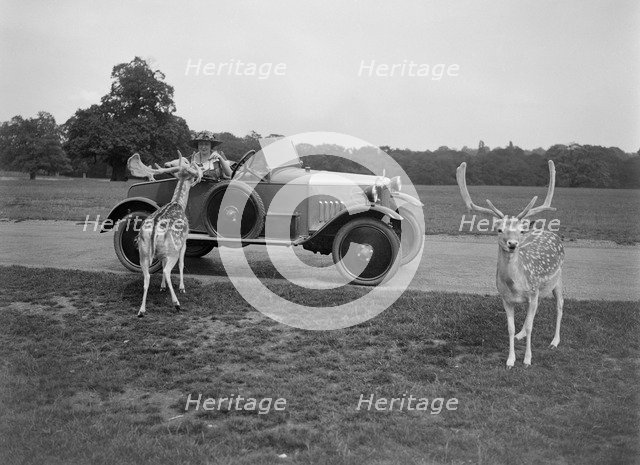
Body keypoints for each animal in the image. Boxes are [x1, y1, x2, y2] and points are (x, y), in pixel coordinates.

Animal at [135, 153, 203, 317]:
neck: (178, 203)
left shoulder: (161, 253)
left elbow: (162, 263)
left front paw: (162, 287)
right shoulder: (184, 241)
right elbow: (182, 264)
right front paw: (182, 287)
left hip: (143, 252)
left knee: (146, 276)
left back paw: (141, 310)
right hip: (173, 250)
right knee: (167, 270)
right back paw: (177, 304)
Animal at [456, 160, 564, 368]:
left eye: (521, 231)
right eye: (499, 230)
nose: (512, 244)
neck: (515, 286)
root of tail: (551, 233)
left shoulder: (532, 293)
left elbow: (531, 327)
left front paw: (527, 360)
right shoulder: (506, 298)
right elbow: (510, 328)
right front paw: (510, 360)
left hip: (559, 278)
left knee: (560, 304)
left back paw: (555, 341)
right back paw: (522, 336)